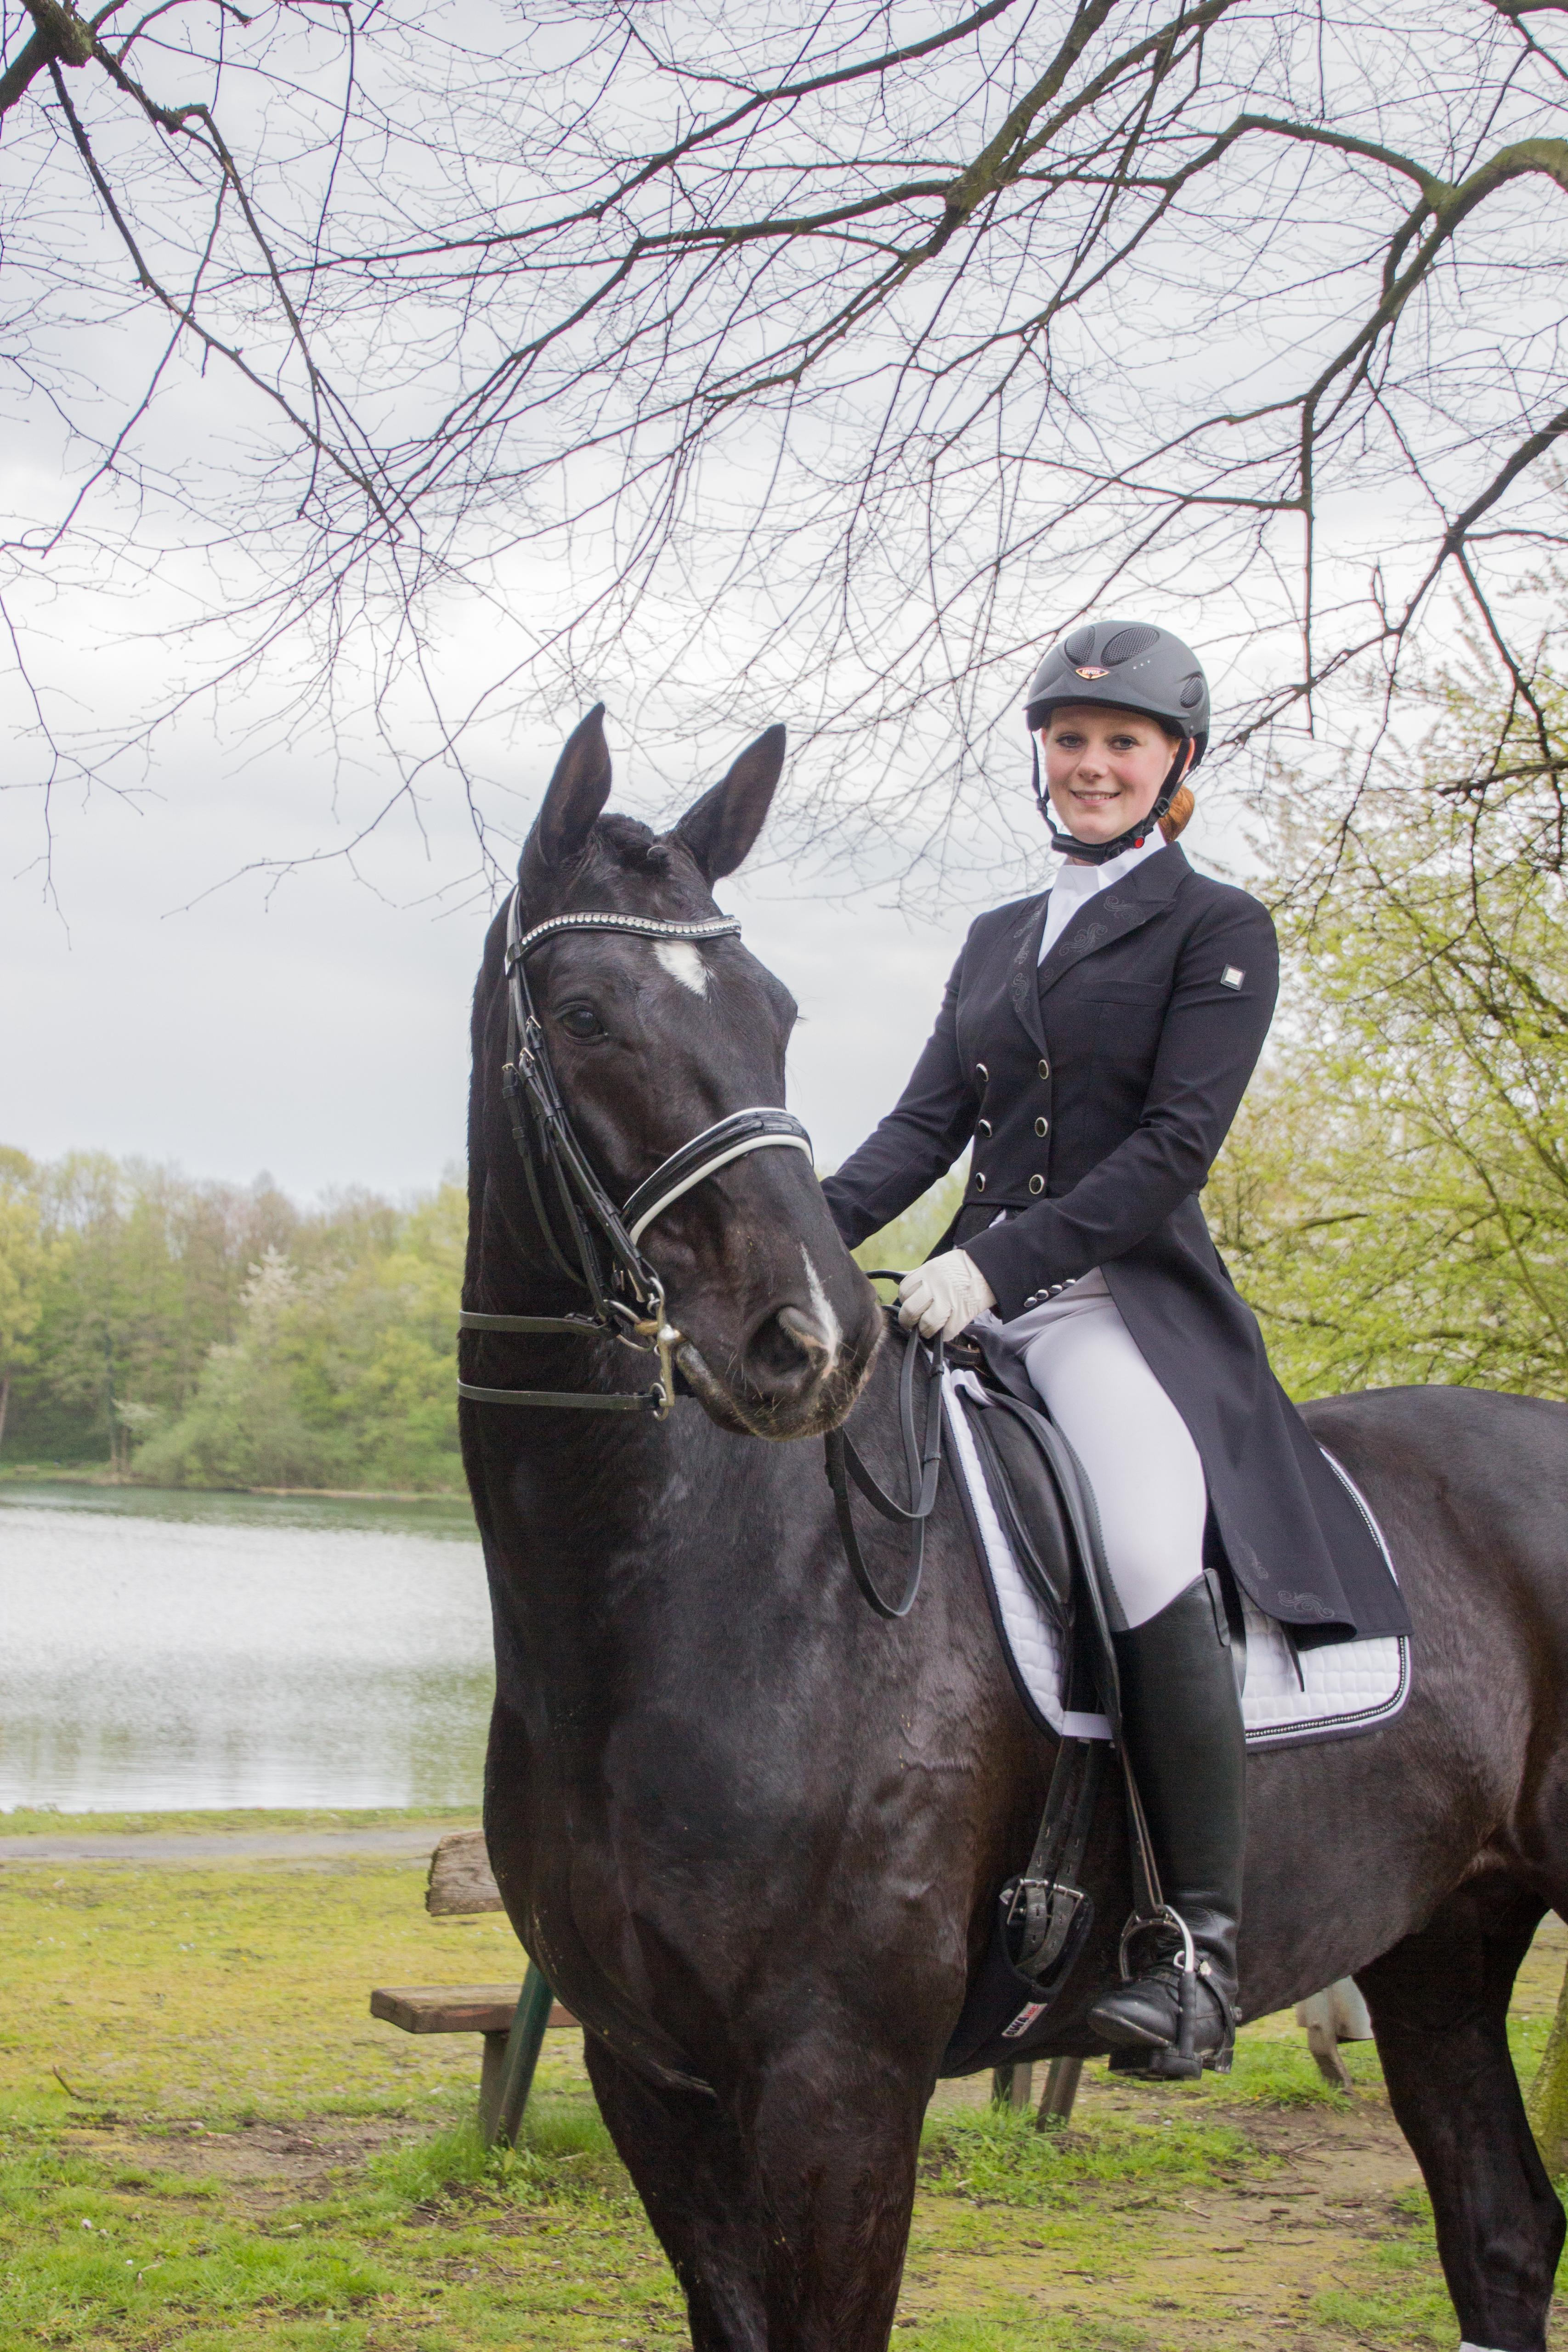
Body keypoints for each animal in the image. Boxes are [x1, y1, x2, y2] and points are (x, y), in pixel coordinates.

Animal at [460, 706, 1568, 2352]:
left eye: (778, 1011)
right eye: (586, 1010)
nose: (812, 1342)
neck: (685, 1593)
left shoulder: (838, 2086)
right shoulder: (648, 2071)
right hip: (1441, 1938)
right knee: (1498, 2228)